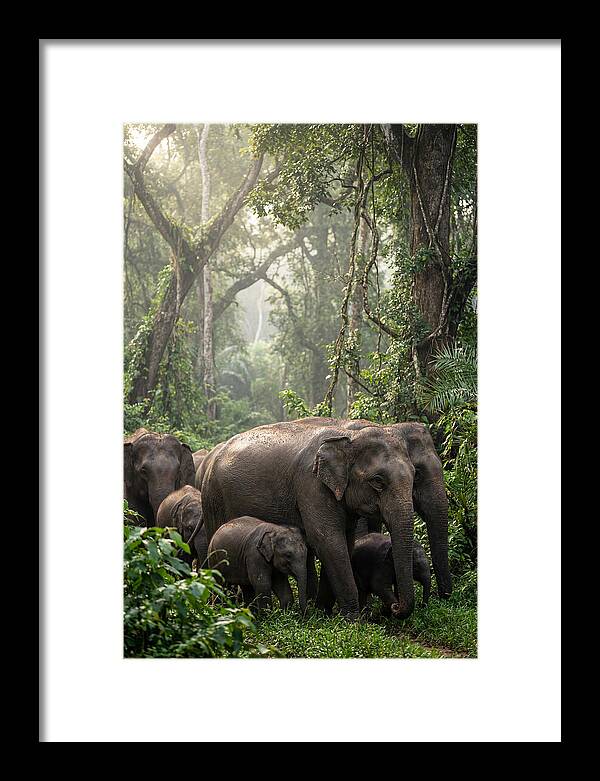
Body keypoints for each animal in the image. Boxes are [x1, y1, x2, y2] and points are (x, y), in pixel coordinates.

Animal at [200, 419, 417, 620]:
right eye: (378, 481)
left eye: (415, 474)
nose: (395, 607)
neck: (349, 437)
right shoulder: (311, 486)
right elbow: (327, 540)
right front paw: (352, 620)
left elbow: (344, 542)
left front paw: (323, 612)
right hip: (213, 500)